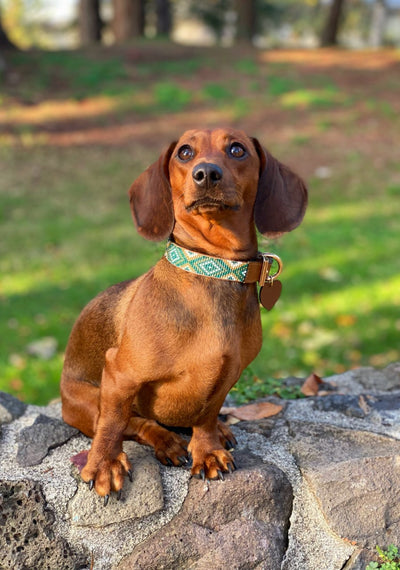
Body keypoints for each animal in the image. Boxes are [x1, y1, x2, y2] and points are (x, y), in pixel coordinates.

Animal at [61, 127, 308, 496]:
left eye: (237, 149)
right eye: (185, 152)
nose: (206, 173)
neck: (215, 269)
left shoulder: (227, 375)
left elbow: (206, 415)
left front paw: (207, 450)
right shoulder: (119, 374)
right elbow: (114, 424)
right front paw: (104, 464)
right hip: (87, 402)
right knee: (135, 424)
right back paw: (165, 440)